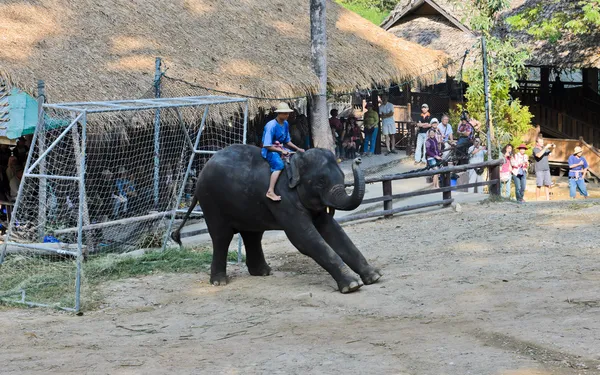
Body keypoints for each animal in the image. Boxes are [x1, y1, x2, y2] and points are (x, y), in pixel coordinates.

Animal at [171, 144, 382, 294]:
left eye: (342, 177)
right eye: (321, 181)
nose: (358, 159)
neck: (296, 161)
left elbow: (333, 231)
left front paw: (374, 277)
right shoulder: (283, 199)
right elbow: (304, 238)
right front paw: (352, 285)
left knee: (253, 234)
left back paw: (263, 272)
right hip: (211, 202)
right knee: (222, 237)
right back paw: (220, 282)